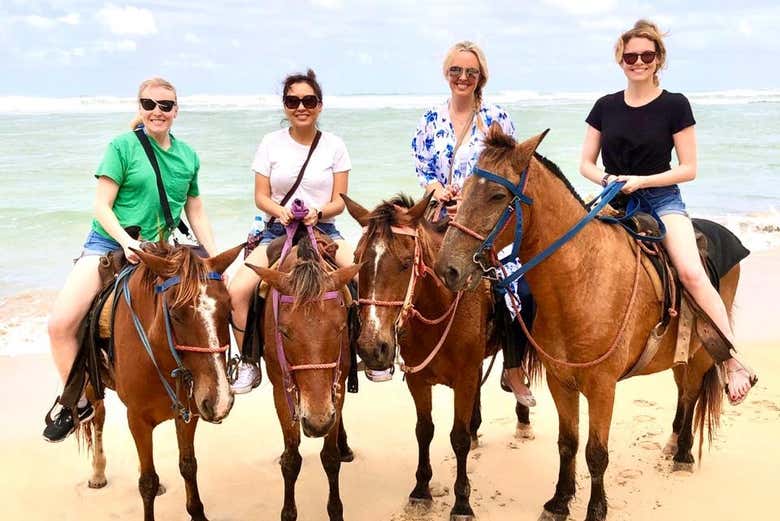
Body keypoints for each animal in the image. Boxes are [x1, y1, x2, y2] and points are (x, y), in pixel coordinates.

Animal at [82, 241, 244, 521]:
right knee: (98, 417)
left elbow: (188, 466)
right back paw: (98, 472)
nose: (220, 401)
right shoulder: (137, 418)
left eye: (229, 309)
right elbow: (147, 481)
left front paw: (197, 512)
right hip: (92, 386)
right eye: (176, 314)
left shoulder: (188, 412)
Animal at [246, 225, 360, 521]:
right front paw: (288, 512)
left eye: (340, 328)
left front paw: (335, 511)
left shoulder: (336, 387)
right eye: (284, 331)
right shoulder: (281, 390)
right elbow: (291, 459)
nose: (317, 422)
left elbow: (330, 458)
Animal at [343, 193, 534, 521]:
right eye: (357, 260)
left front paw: (462, 503)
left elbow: (457, 437)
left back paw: (522, 416)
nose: (371, 347)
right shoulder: (419, 381)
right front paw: (421, 490)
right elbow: (424, 430)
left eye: (406, 263)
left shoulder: (465, 377)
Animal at [435, 125, 734, 521]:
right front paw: (560, 501)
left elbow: (596, 453)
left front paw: (595, 509)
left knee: (692, 390)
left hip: (702, 349)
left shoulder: (602, 386)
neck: (581, 279)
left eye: (498, 195)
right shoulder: (561, 382)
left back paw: (683, 451)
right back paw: (673, 443)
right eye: (463, 189)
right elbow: (568, 443)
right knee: (684, 390)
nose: (447, 269)